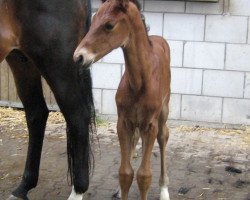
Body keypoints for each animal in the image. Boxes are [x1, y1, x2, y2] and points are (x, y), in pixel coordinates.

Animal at [0, 0, 94, 199]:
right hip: (21, 58)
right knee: (37, 113)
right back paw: (23, 187)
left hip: (56, 60)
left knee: (77, 116)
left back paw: (78, 191)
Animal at [73, 0, 172, 199]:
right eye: (93, 20)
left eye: (109, 25)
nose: (78, 57)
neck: (139, 83)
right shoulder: (123, 122)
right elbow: (125, 173)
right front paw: (121, 187)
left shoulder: (150, 125)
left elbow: (144, 175)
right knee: (136, 140)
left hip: (164, 110)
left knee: (163, 136)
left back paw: (164, 189)